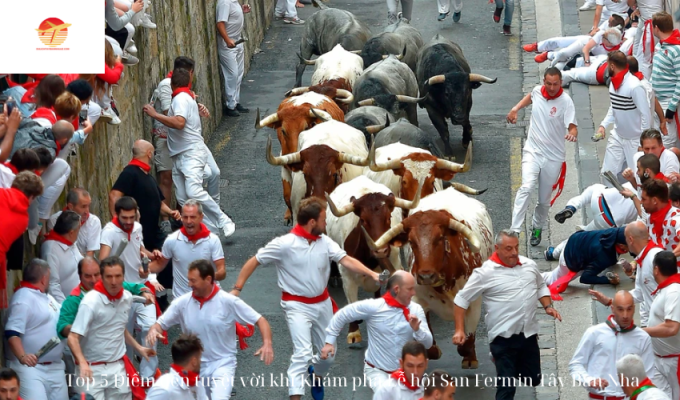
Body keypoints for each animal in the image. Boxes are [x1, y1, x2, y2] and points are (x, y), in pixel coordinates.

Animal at [324, 175, 420, 344]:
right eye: (363, 220)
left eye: (388, 217)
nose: (381, 250)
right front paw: (353, 332)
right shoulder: (347, 277)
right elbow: (352, 303)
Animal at [364, 188, 492, 368]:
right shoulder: (417, 298)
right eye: (411, 241)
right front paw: (432, 349)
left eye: (440, 238)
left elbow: (466, 341)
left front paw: (469, 357)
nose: (426, 276)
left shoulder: (474, 304)